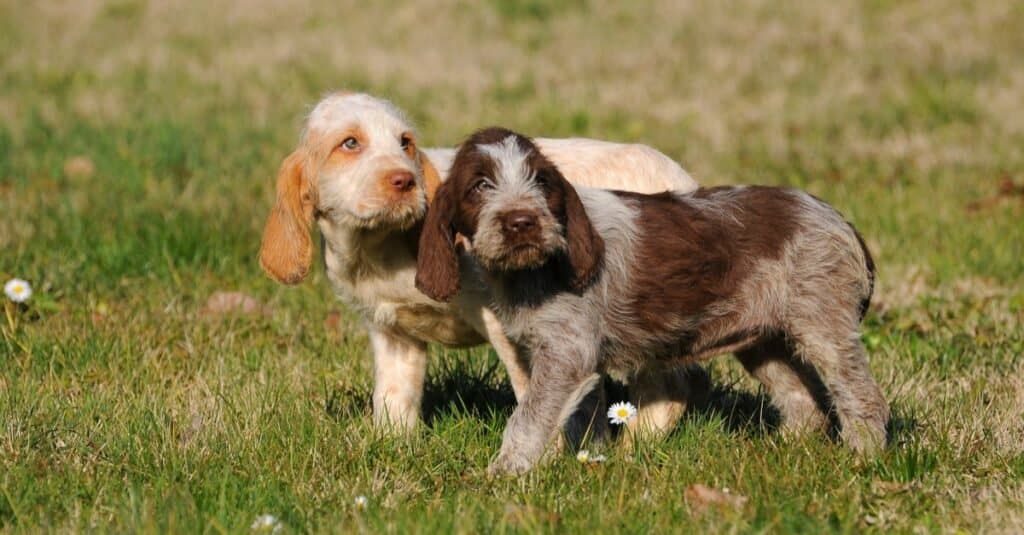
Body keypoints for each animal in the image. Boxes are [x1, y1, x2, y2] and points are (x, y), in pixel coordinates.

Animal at [260, 91, 704, 432]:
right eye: (349, 144)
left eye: (405, 144)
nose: (406, 181)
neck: (378, 248)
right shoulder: (392, 335)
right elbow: (392, 402)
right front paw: (391, 450)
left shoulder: (509, 324)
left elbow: (535, 394)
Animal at [415, 127, 888, 473]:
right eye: (479, 186)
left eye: (542, 182)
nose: (521, 222)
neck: (532, 271)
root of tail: (839, 220)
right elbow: (580, 416)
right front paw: (587, 461)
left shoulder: (567, 353)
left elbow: (528, 418)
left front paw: (503, 474)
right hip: (763, 340)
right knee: (802, 402)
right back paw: (784, 452)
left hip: (823, 325)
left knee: (862, 396)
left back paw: (863, 457)